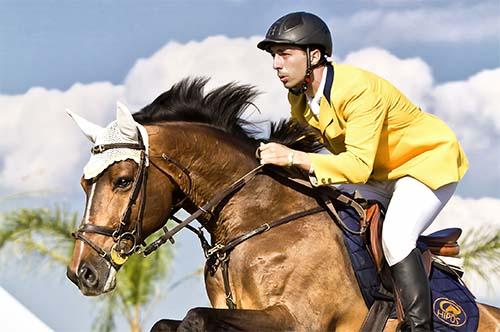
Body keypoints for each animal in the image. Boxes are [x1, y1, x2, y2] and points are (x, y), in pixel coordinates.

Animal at [67, 78, 500, 332]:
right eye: (84, 183)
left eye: (123, 181)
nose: (81, 274)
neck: (259, 220)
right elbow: (173, 323)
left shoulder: (297, 320)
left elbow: (193, 319)